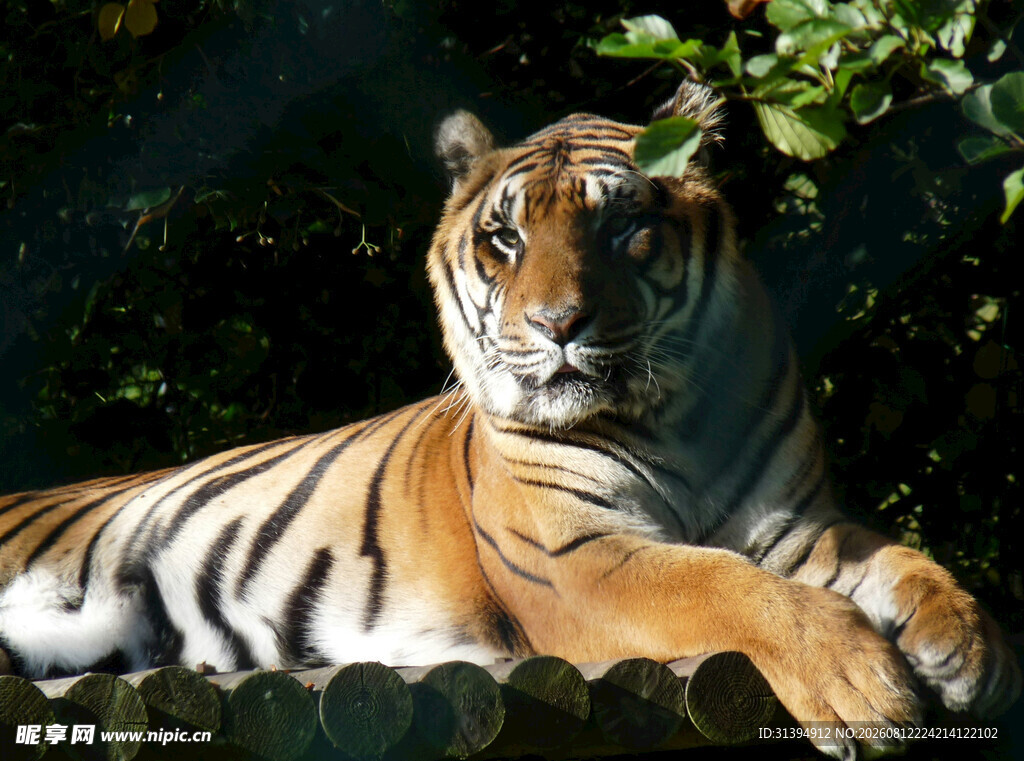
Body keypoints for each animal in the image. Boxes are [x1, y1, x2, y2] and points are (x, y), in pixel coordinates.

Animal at [0, 81, 1019, 759]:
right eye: (505, 239)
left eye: (623, 229)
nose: (557, 325)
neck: (678, 415)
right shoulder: (578, 557)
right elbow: (726, 584)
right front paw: (861, 686)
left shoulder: (799, 526)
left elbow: (899, 558)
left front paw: (969, 645)